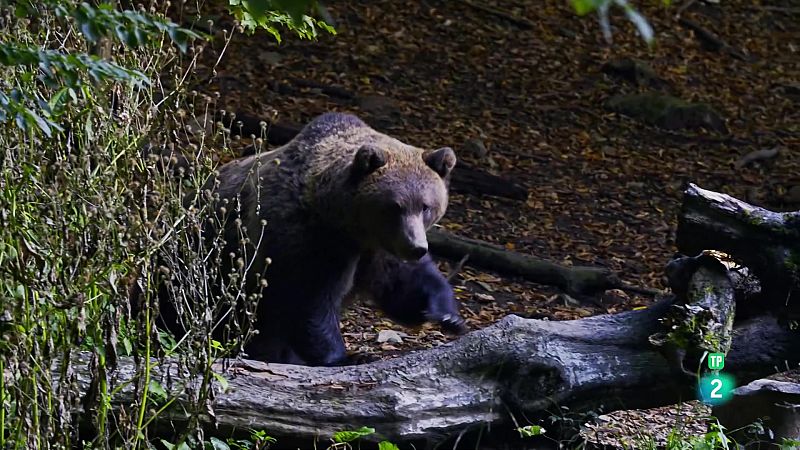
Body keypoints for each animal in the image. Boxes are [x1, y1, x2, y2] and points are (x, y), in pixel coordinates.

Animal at [170, 111, 462, 366]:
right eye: (394, 206)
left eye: (425, 206)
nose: (416, 247)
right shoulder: (308, 239)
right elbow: (307, 300)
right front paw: (346, 356)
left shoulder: (377, 248)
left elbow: (402, 284)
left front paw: (446, 314)